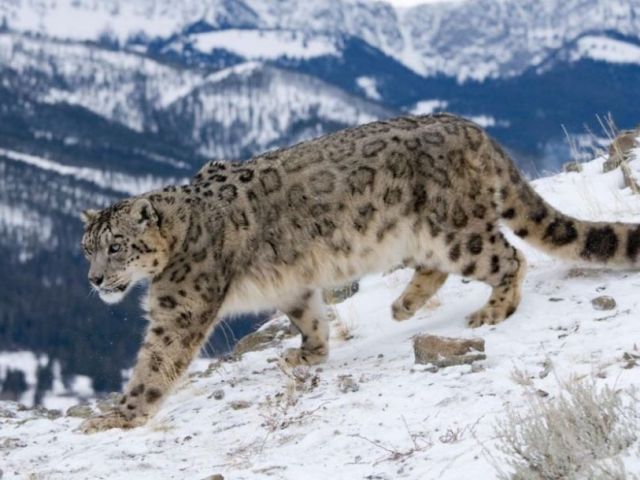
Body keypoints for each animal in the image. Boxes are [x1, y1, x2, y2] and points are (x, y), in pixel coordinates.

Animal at [79, 113, 640, 432]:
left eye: (116, 247)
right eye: (86, 249)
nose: (94, 280)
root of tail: (471, 127)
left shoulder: (180, 307)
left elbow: (156, 363)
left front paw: (119, 415)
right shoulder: (293, 283)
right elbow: (308, 313)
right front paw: (307, 355)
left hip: (454, 229)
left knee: (507, 257)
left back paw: (492, 310)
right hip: (422, 236)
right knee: (438, 268)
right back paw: (404, 305)